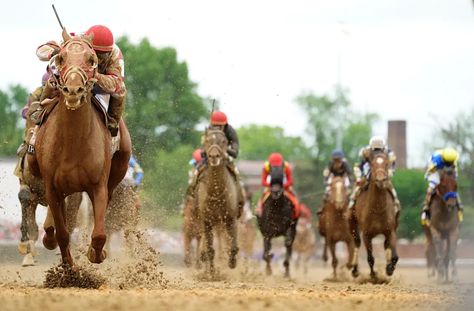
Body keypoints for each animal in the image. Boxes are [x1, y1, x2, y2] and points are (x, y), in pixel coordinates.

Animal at [27, 30, 131, 266]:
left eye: (91, 60)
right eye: (61, 57)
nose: (73, 90)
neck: (73, 143)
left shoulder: (99, 186)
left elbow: (99, 233)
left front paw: (96, 253)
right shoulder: (52, 187)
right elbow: (62, 233)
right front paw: (68, 267)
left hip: (115, 175)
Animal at [196, 129, 241, 276]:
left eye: (224, 141)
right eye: (207, 140)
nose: (214, 156)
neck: (216, 192)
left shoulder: (231, 219)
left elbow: (233, 247)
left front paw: (232, 263)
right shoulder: (207, 221)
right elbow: (210, 250)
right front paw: (211, 273)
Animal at [348, 152, 400, 280]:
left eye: (386, 164)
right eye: (372, 164)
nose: (381, 179)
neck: (377, 209)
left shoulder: (391, 231)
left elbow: (395, 256)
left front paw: (389, 269)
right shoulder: (367, 234)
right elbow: (370, 258)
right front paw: (373, 275)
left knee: (386, 245)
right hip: (352, 224)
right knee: (356, 243)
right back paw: (355, 270)